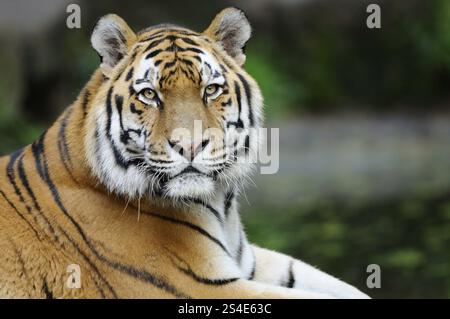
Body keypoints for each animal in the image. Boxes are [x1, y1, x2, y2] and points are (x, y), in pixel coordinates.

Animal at [0, 7, 370, 298]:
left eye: (211, 89)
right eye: (149, 94)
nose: (189, 145)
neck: (220, 207)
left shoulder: (247, 262)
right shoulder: (199, 286)